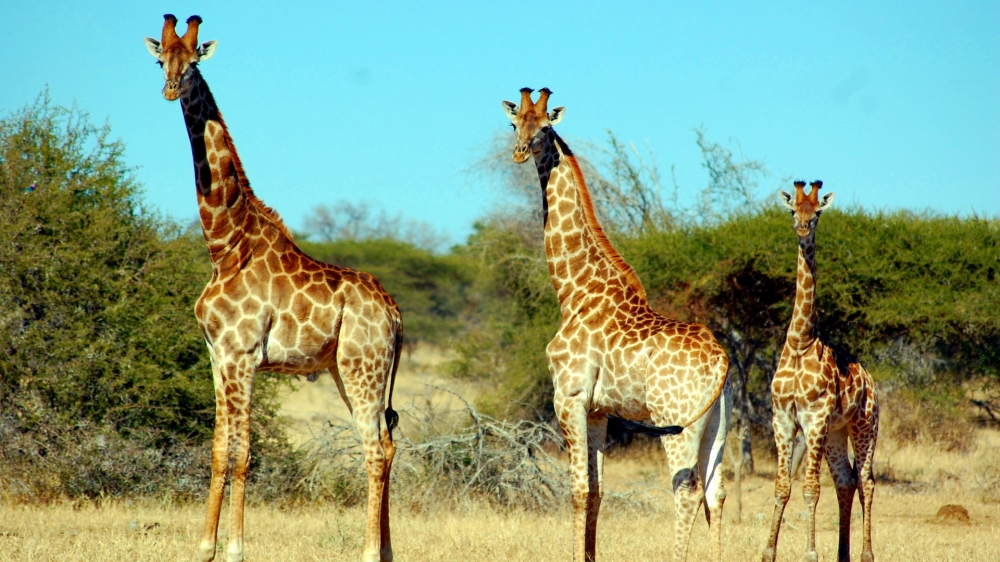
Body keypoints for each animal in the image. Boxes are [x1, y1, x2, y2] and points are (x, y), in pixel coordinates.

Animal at [146, 14, 402, 560]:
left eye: (193, 62)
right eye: (161, 61)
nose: (171, 88)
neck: (225, 243)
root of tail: (395, 313)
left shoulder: (243, 355)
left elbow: (243, 453)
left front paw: (236, 548)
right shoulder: (217, 355)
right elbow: (218, 449)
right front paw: (204, 547)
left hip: (362, 368)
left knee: (374, 448)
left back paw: (369, 551)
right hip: (347, 371)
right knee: (388, 443)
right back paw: (387, 549)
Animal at [504, 88, 732, 560]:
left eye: (546, 127)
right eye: (513, 123)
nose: (519, 152)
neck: (573, 290)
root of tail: (721, 359)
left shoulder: (568, 398)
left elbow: (576, 489)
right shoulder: (598, 410)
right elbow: (597, 491)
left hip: (676, 420)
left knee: (686, 488)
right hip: (719, 425)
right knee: (716, 493)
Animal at [760, 180, 880, 560]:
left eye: (817, 214)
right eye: (792, 211)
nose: (802, 229)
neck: (800, 341)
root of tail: (871, 381)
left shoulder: (813, 418)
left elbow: (810, 488)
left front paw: (810, 553)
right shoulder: (782, 417)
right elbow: (782, 486)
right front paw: (768, 551)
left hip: (864, 426)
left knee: (867, 481)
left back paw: (866, 554)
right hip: (836, 433)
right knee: (846, 480)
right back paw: (843, 554)